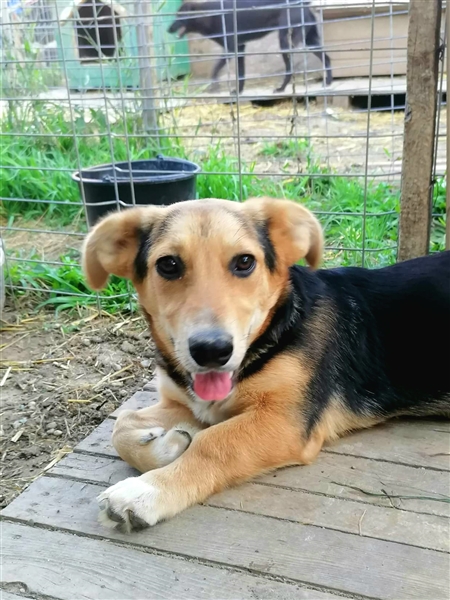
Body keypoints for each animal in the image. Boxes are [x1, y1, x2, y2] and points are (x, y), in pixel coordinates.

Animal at [82, 197, 450, 532]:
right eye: (168, 265)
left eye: (245, 262)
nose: (212, 350)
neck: (276, 329)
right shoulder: (187, 403)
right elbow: (122, 424)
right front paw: (167, 444)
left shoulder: (286, 421)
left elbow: (213, 443)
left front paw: (145, 492)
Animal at [167, 0, 333, 93]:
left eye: (179, 16)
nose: (168, 29)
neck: (210, 15)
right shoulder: (239, 48)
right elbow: (237, 72)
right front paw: (235, 90)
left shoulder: (232, 49)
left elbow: (219, 69)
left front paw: (218, 87)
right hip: (310, 42)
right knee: (327, 58)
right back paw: (328, 82)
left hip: (285, 42)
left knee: (290, 68)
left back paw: (281, 89)